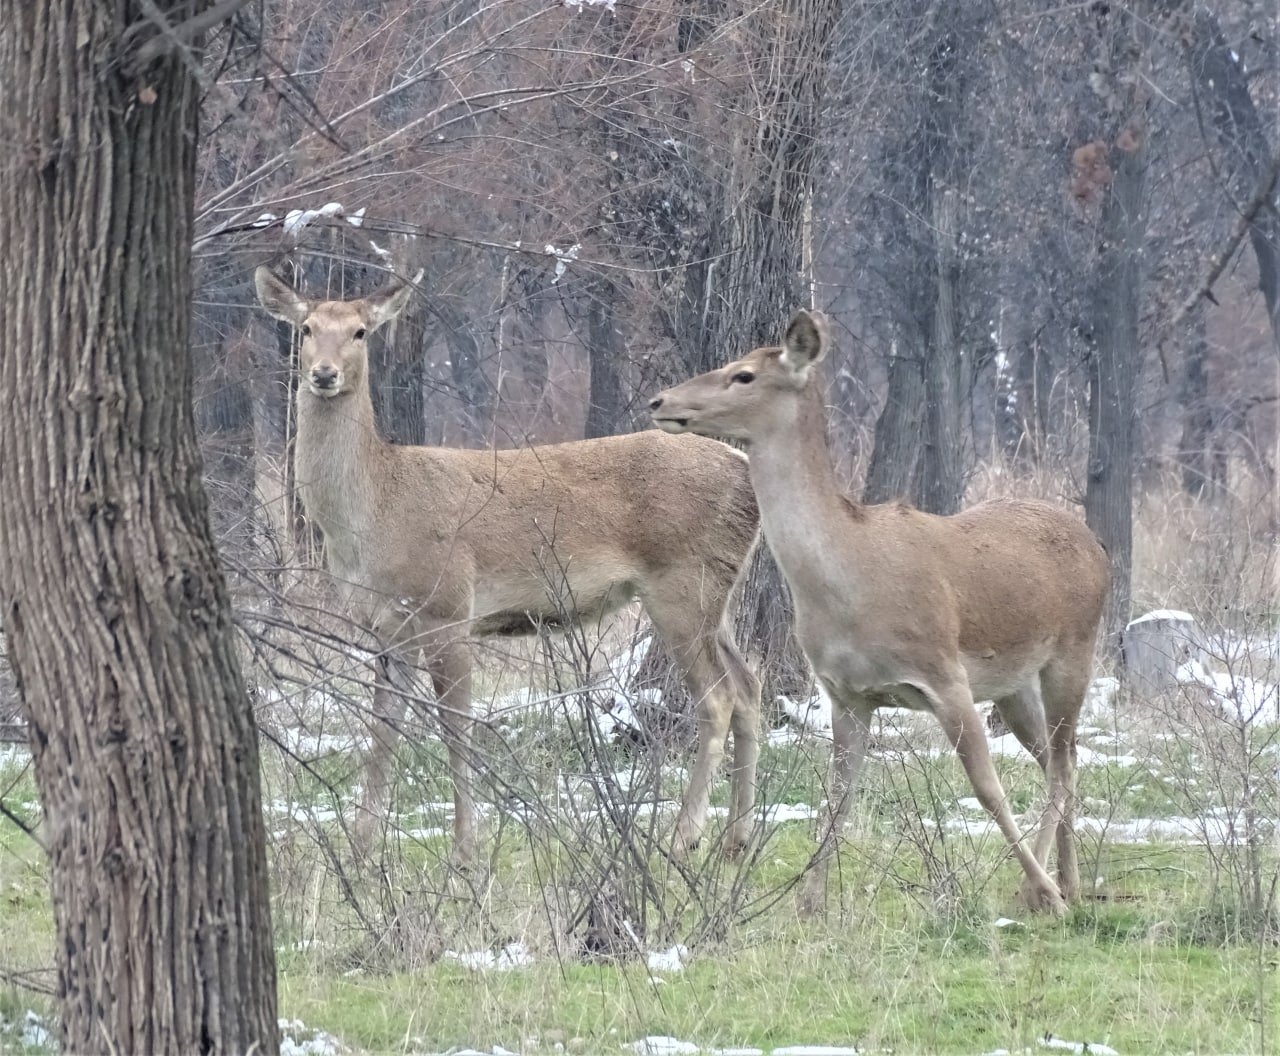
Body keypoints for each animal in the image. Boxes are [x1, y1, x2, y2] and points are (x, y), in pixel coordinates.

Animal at [254, 266, 762, 865]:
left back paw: (684, 836)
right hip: (717, 592)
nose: (324, 374)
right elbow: (382, 731)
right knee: (749, 687)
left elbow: (456, 728)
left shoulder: (449, 607)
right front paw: (360, 848)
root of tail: (745, 469)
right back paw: (737, 838)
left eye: (360, 331)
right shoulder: (385, 626)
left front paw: (464, 851)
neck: (375, 514)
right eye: (306, 328)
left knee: (718, 697)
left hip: (682, 581)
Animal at [650, 308, 1111, 911]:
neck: (851, 584)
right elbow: (836, 799)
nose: (659, 401)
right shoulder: (845, 694)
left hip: (1075, 651)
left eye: (744, 375)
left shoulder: (945, 673)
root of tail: (1098, 547)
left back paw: (1046, 890)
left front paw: (1042, 890)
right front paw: (810, 902)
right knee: (1063, 757)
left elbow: (987, 789)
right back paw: (1070, 882)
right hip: (1015, 685)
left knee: (1061, 765)